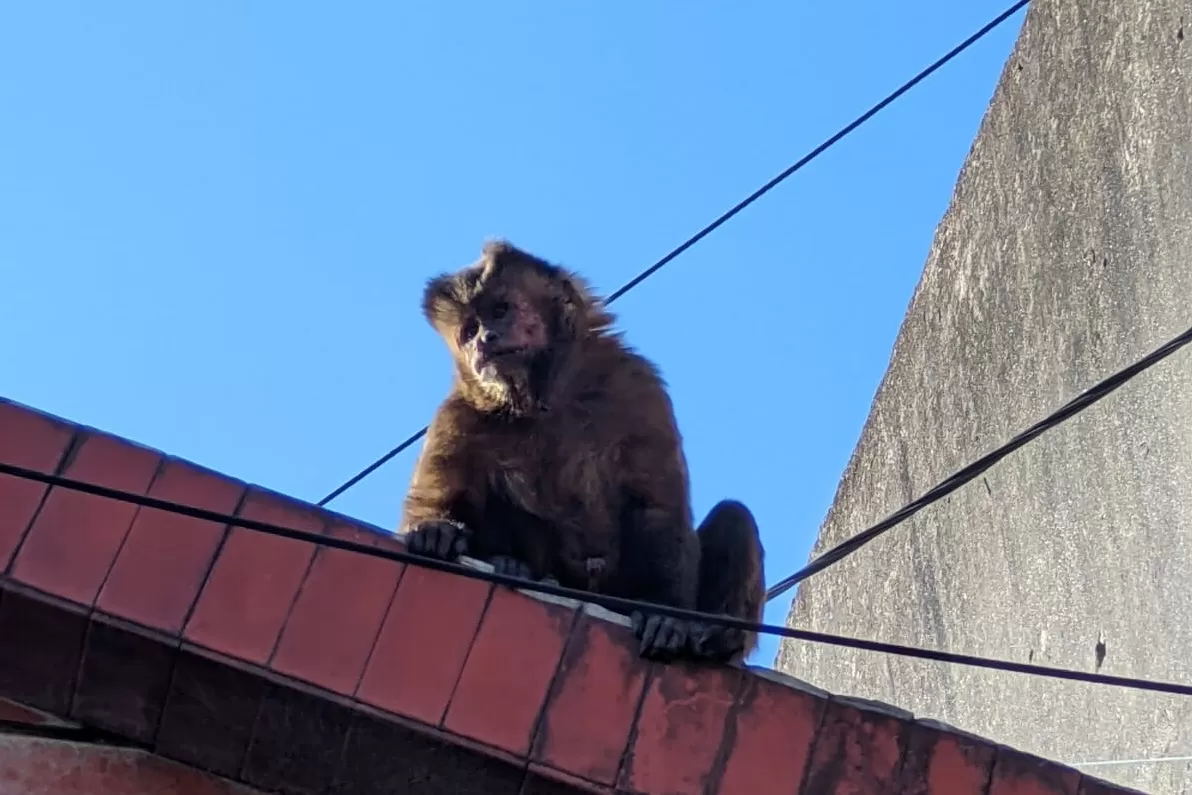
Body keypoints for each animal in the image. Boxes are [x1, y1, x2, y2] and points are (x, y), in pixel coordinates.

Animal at [400, 239, 767, 662]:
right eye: (469, 329)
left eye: (500, 310)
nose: (483, 340)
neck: (547, 399)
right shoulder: (460, 412)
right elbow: (444, 501)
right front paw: (436, 530)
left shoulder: (638, 386)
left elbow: (657, 508)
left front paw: (665, 615)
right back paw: (514, 565)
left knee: (733, 516)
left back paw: (716, 637)